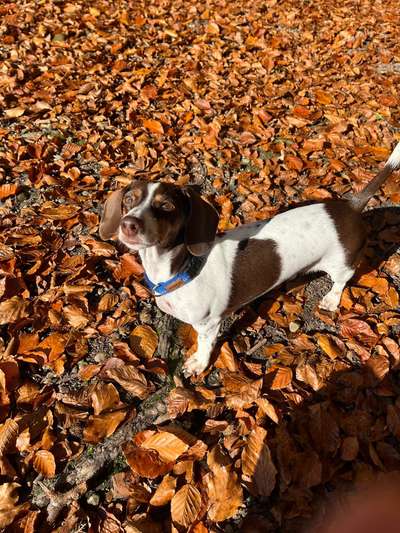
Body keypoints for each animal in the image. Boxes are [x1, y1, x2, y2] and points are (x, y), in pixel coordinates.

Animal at [99, 141, 400, 374]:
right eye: (129, 200)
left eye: (166, 206)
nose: (128, 224)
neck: (182, 268)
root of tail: (351, 206)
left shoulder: (209, 324)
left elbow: (205, 344)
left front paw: (198, 363)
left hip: (340, 263)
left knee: (342, 280)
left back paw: (330, 299)